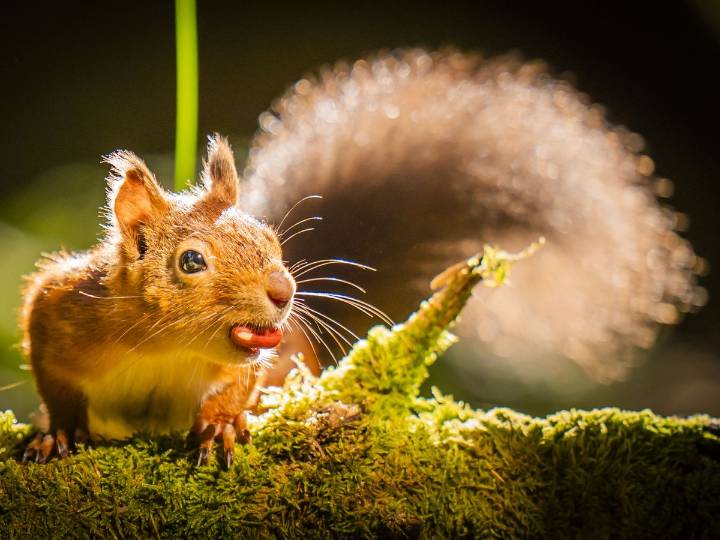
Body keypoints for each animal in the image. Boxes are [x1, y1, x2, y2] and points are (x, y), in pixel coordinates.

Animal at [19, 48, 702, 465]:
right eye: (191, 262)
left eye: (271, 240)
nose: (283, 293)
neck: (163, 350)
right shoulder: (56, 310)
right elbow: (55, 381)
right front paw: (58, 432)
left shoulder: (253, 360)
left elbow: (239, 384)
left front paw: (220, 423)